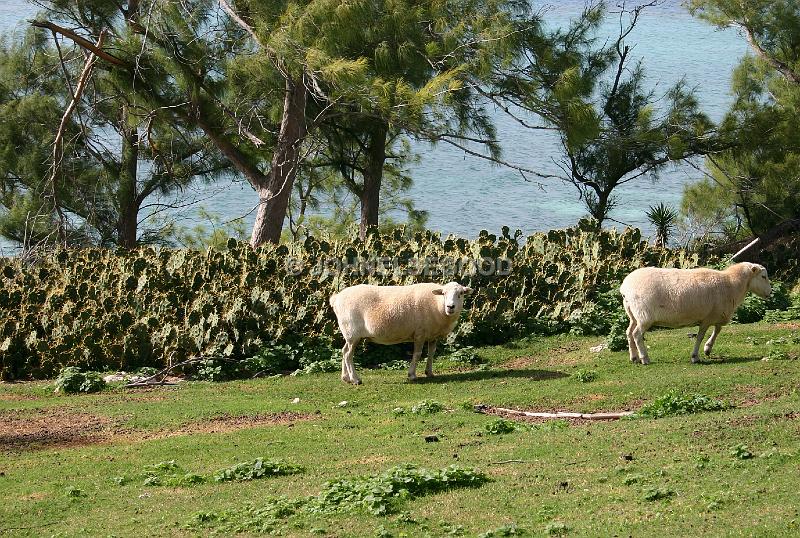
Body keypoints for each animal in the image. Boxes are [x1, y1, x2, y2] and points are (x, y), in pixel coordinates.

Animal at [328, 280, 472, 382]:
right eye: (444, 293)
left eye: (461, 294)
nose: (450, 307)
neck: (437, 304)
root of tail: (336, 298)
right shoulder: (420, 333)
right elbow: (417, 354)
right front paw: (412, 375)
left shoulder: (432, 335)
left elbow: (431, 353)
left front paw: (429, 372)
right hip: (352, 332)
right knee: (348, 355)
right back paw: (355, 379)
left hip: (349, 333)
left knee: (344, 351)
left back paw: (345, 378)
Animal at [620, 260, 768, 364]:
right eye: (763, 276)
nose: (769, 293)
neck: (731, 284)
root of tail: (625, 287)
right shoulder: (708, 317)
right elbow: (700, 336)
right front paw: (695, 356)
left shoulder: (717, 314)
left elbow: (718, 329)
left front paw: (708, 348)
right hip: (644, 316)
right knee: (636, 334)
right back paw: (644, 358)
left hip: (634, 315)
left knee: (629, 332)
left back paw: (633, 357)